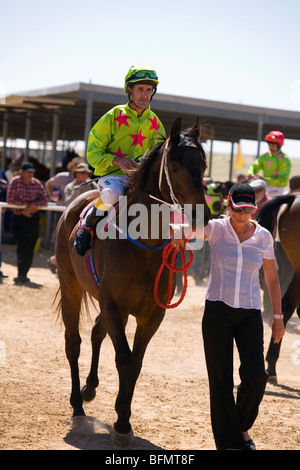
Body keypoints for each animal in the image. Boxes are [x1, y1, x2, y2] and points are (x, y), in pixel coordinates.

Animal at [54, 118, 211, 448]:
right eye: (175, 165)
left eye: (203, 165)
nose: (201, 214)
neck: (143, 245)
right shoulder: (115, 306)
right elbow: (124, 360)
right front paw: (122, 424)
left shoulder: (151, 314)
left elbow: (135, 363)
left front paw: (122, 417)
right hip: (71, 286)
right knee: (73, 343)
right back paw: (77, 406)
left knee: (97, 332)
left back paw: (89, 388)